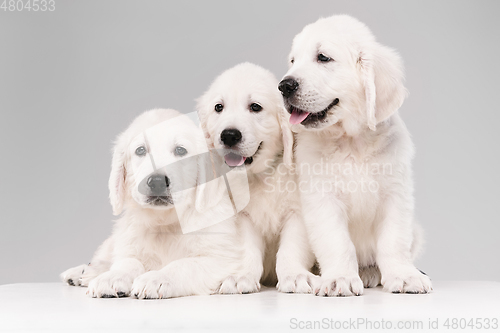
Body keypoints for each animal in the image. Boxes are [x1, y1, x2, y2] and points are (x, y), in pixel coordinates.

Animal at [60, 109, 244, 298]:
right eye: (140, 150)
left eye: (180, 150)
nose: (157, 182)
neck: (164, 223)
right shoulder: (130, 244)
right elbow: (129, 262)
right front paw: (113, 277)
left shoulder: (221, 257)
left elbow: (183, 265)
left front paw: (157, 278)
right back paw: (85, 271)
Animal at [196, 63, 316, 294]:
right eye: (219, 107)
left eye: (255, 107)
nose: (229, 135)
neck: (260, 176)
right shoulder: (240, 215)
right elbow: (246, 248)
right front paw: (241, 277)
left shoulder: (298, 212)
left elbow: (291, 246)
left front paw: (294, 275)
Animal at [280, 16, 432, 296]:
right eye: (293, 61)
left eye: (323, 57)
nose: (283, 86)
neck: (352, 142)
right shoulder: (322, 198)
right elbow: (337, 242)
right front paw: (339, 278)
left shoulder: (395, 194)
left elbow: (394, 241)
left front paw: (404, 276)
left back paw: (372, 272)